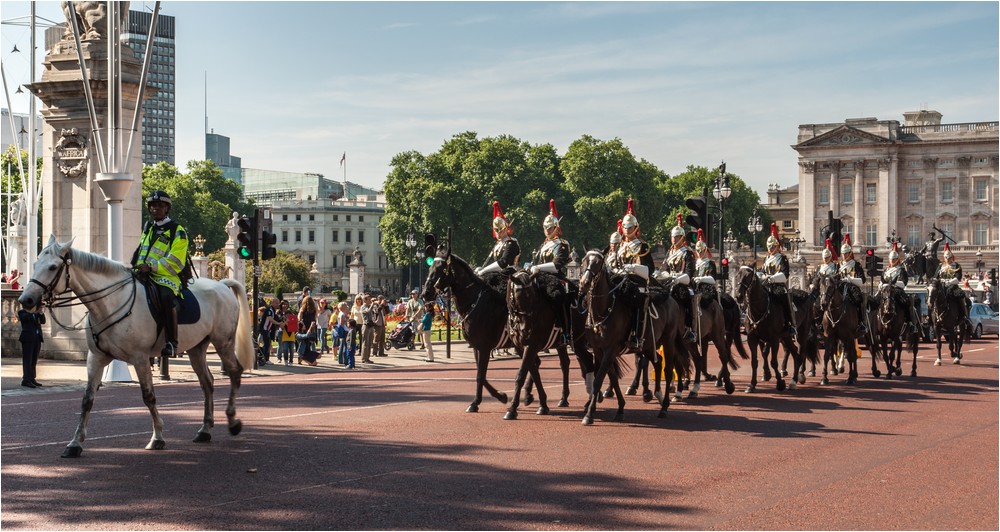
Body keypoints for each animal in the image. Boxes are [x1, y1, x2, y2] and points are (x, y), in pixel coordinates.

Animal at [19, 236, 256, 458]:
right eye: (35, 263)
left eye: (52, 267)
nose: (26, 300)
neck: (110, 303)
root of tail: (222, 284)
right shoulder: (96, 357)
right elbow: (87, 400)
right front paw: (74, 444)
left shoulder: (140, 358)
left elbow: (148, 396)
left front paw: (157, 437)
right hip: (196, 348)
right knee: (207, 383)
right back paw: (205, 430)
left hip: (223, 342)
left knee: (234, 373)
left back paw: (233, 422)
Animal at [420, 243, 516, 414]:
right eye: (430, 266)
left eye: (441, 268)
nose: (426, 293)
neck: (475, 302)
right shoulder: (477, 347)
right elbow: (480, 374)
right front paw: (497, 397)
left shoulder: (484, 347)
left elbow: (480, 375)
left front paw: (480, 401)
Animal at [508, 272, 592, 422]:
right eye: (518, 296)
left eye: (532, 297)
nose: (526, 330)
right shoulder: (521, 347)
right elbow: (534, 372)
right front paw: (541, 403)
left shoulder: (531, 345)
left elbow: (522, 374)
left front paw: (512, 408)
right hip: (568, 343)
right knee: (568, 363)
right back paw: (565, 398)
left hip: (578, 342)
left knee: (589, 362)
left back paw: (589, 403)